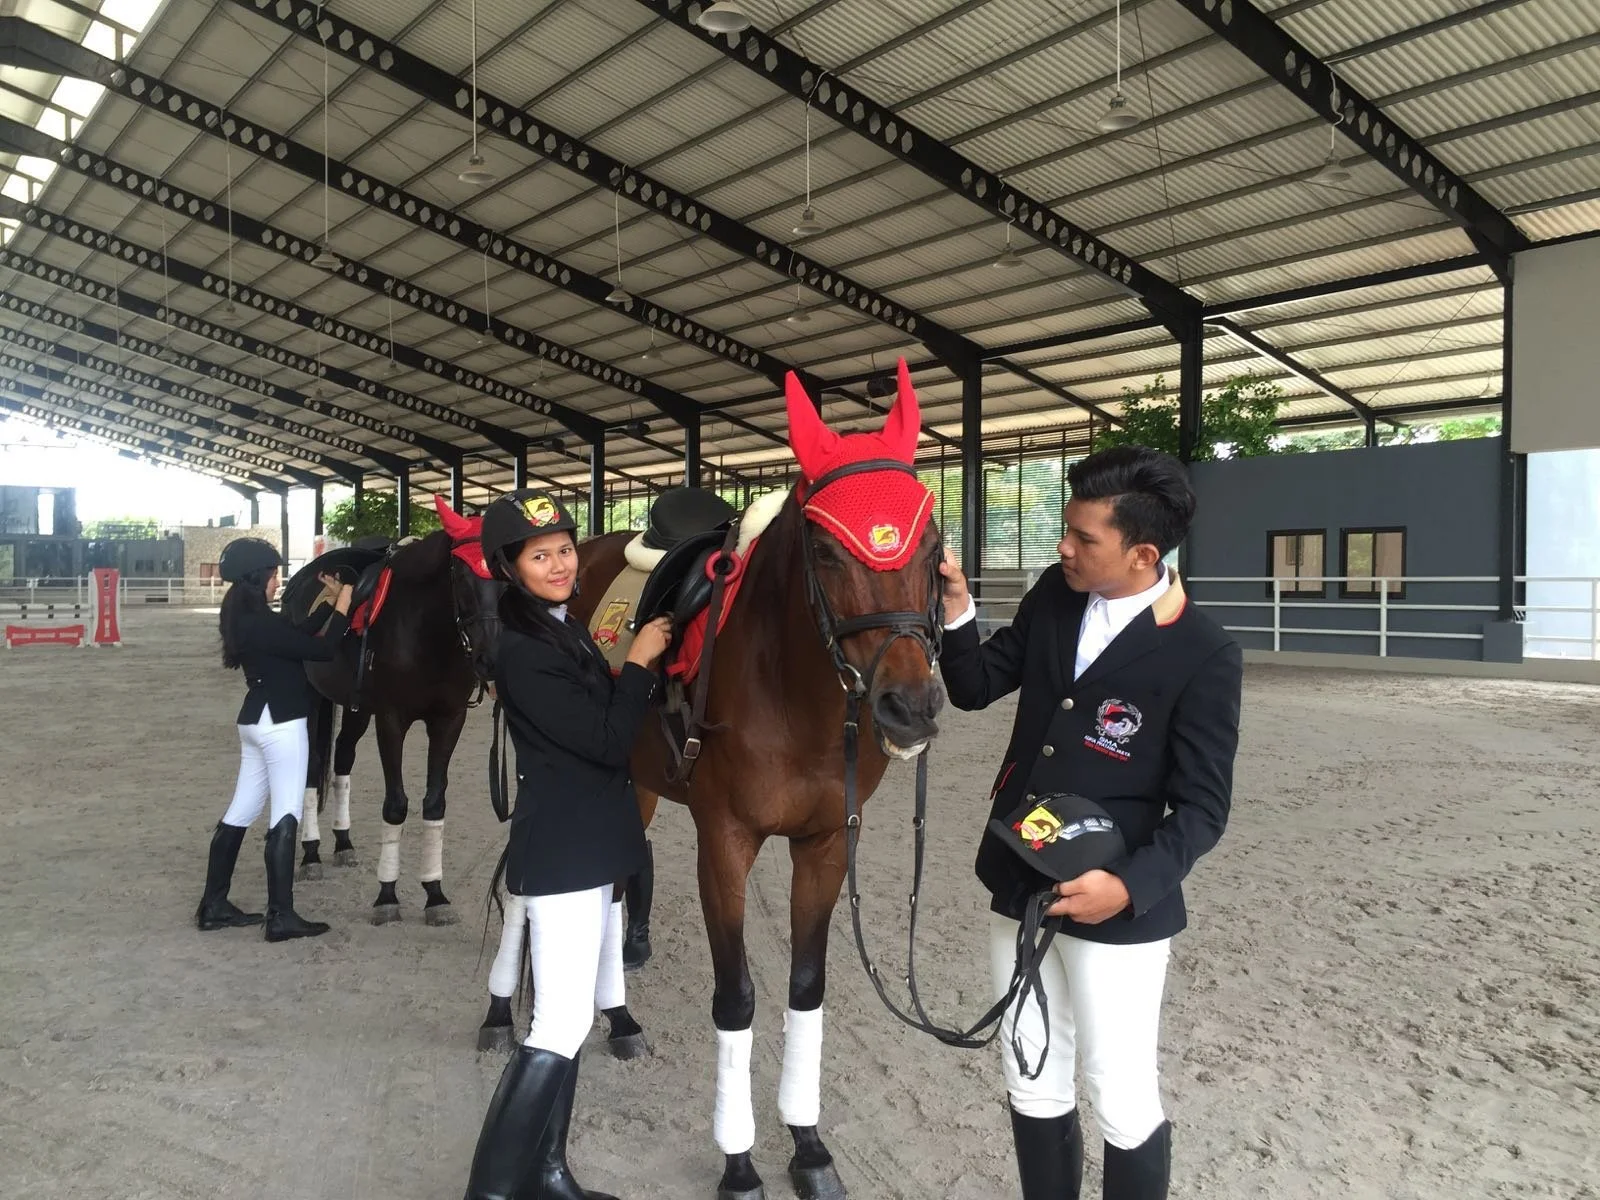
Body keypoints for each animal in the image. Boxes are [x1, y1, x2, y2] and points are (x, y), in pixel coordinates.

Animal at [536, 361, 947, 1199]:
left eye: (931, 544)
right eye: (825, 550)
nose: (910, 706)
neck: (791, 687)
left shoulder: (827, 844)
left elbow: (805, 988)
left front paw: (809, 1147)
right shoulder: (723, 842)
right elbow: (737, 998)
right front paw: (738, 1162)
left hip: (638, 782)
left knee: (613, 887)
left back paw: (618, 1018)